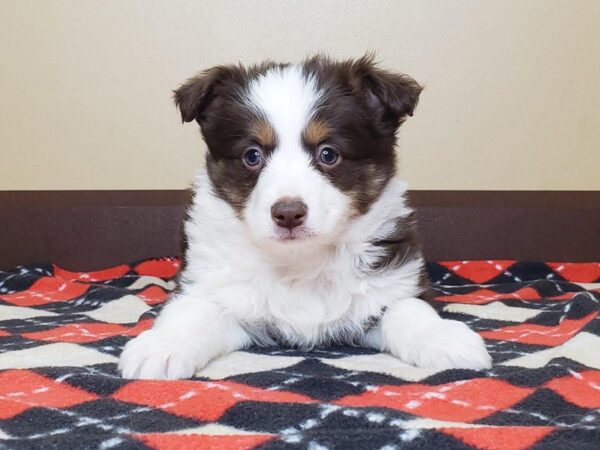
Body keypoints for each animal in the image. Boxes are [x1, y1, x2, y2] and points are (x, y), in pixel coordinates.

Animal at [118, 53, 492, 380]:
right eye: (252, 155)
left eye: (328, 153)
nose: (288, 213)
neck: (301, 262)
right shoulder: (215, 288)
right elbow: (192, 313)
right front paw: (161, 348)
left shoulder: (394, 279)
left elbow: (408, 308)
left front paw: (445, 339)